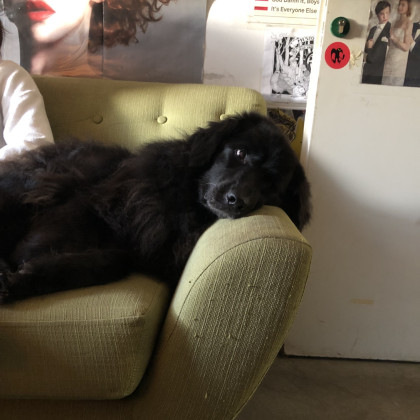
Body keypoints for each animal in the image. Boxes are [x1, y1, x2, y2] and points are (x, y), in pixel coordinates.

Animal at [0, 112, 311, 303]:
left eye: (270, 183)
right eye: (239, 152)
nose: (237, 200)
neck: (183, 205)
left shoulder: (132, 249)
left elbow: (109, 262)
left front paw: (23, 277)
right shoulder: (88, 202)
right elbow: (44, 240)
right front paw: (19, 267)